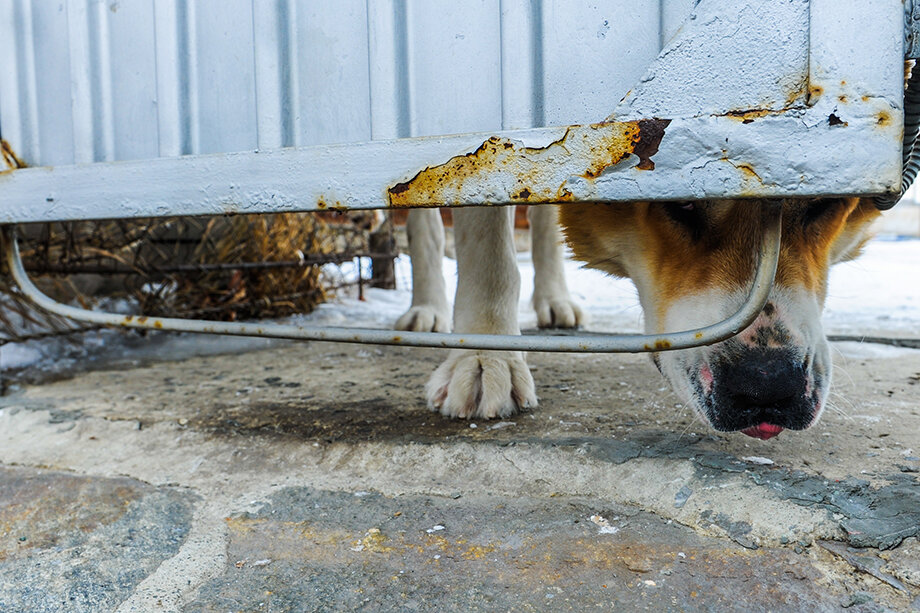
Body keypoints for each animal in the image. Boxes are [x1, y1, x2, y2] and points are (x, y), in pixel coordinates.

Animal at [396, 198, 876, 438]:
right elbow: (487, 242)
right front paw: (483, 356)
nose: (768, 387)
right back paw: (428, 308)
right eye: (683, 203)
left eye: (824, 204)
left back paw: (555, 299)